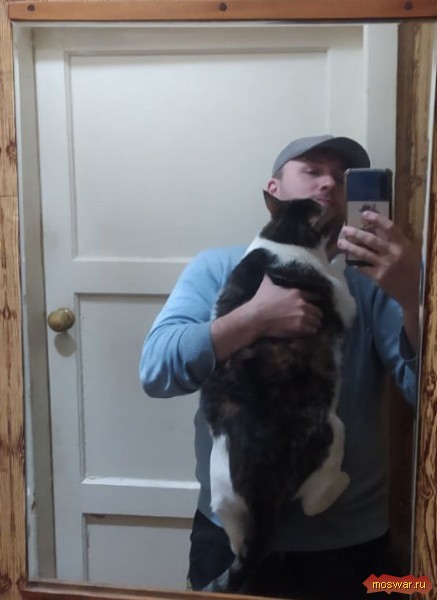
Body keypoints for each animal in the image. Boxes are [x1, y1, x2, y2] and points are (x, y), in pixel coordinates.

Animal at [201, 191, 357, 594]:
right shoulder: (341, 298)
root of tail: (262, 488)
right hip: (331, 431)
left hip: (222, 493)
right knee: (315, 501)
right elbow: (340, 280)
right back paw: (343, 483)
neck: (285, 235)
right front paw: (342, 257)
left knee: (238, 538)